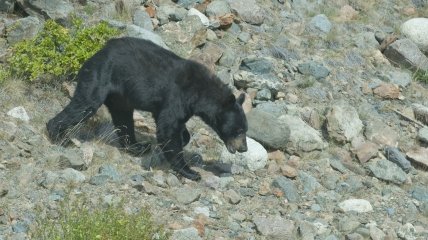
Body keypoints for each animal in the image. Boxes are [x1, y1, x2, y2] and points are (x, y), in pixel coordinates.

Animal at [46, 37, 247, 180]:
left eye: (244, 130)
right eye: (238, 130)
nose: (244, 148)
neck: (199, 93)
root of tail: (95, 54)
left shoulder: (174, 106)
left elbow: (171, 125)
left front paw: (182, 139)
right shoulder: (177, 96)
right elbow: (168, 127)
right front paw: (190, 171)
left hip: (120, 96)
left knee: (123, 119)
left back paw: (137, 146)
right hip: (99, 78)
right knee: (84, 105)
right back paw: (59, 136)